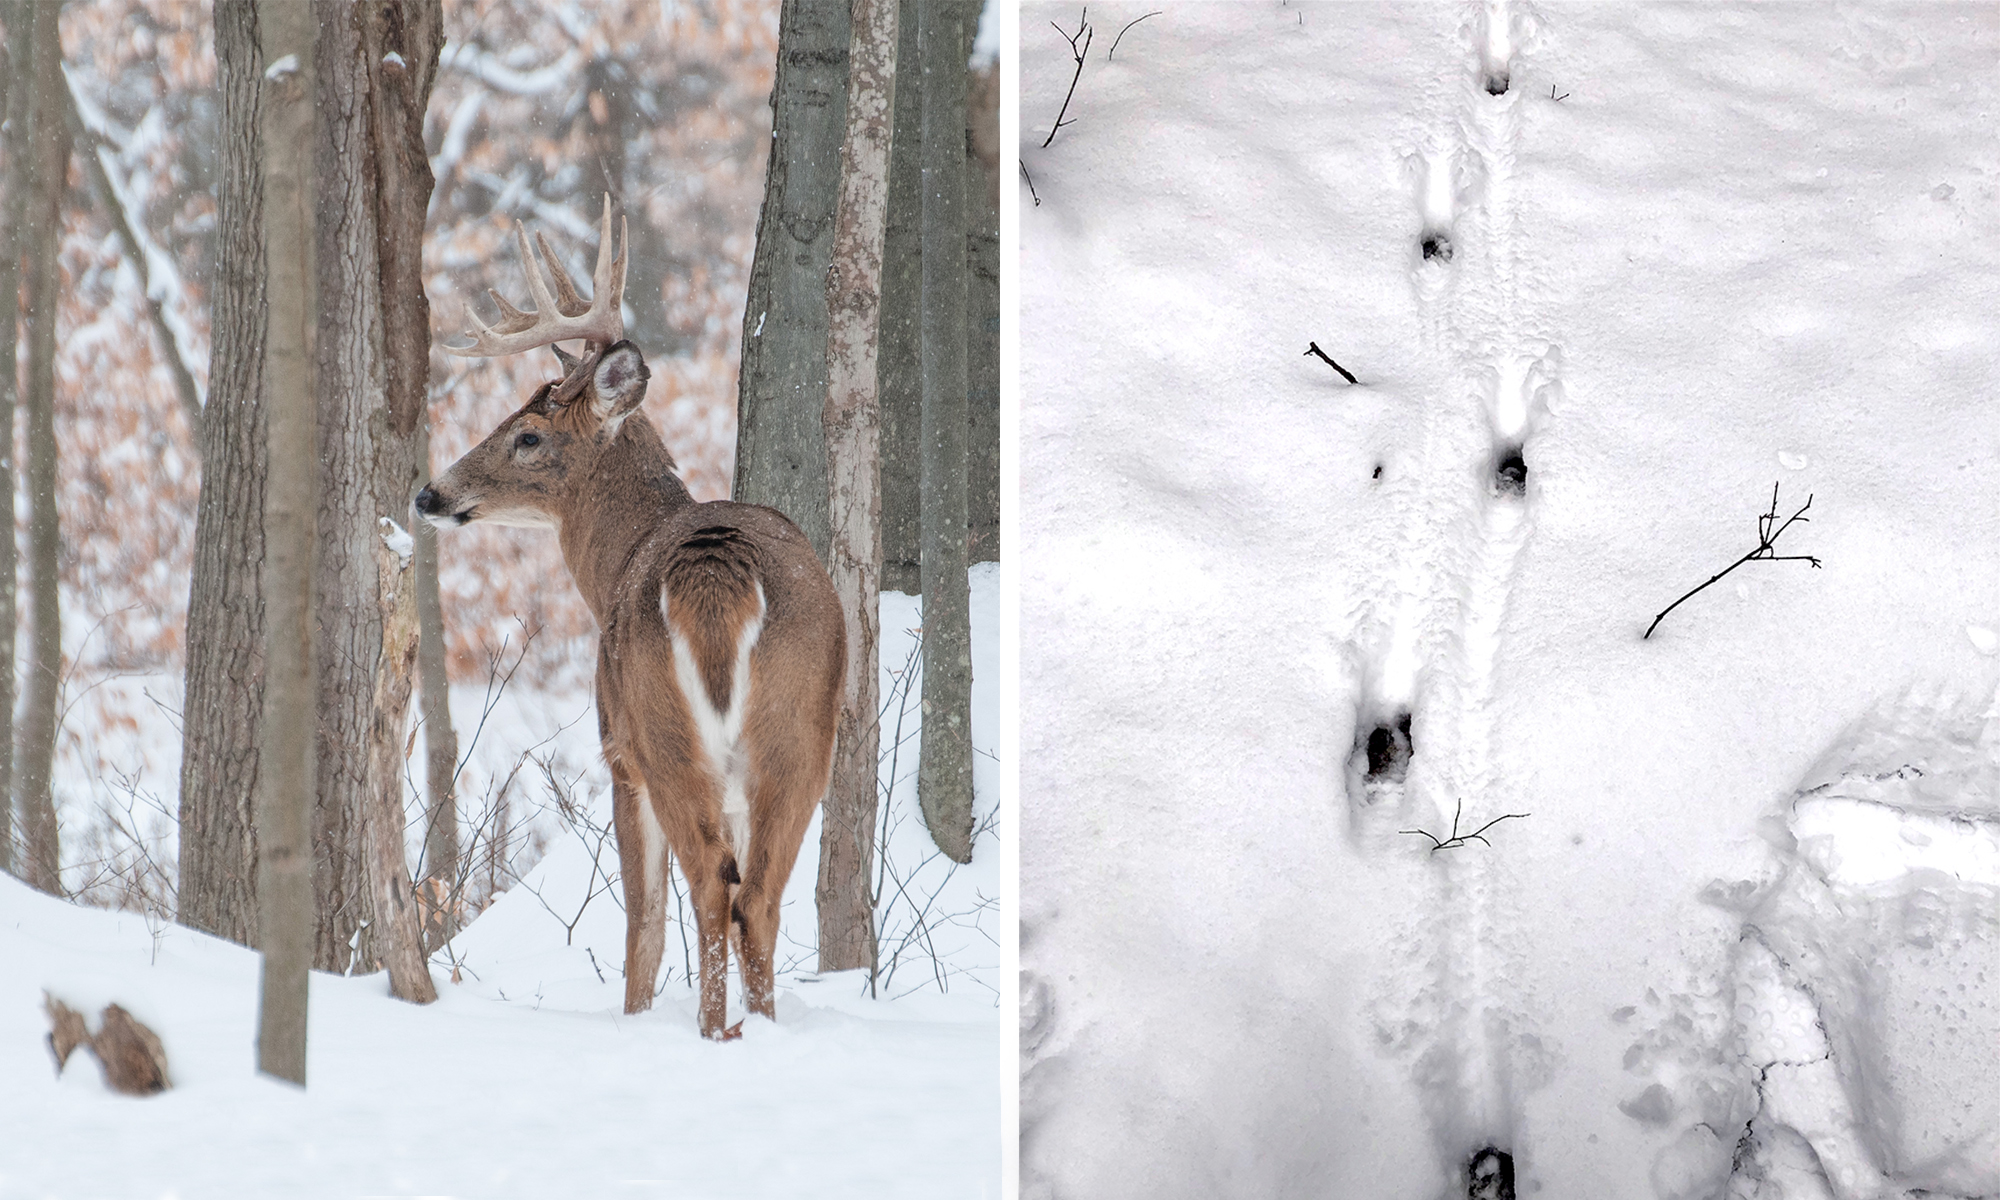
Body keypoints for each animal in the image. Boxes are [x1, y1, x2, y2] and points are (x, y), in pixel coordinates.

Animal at [416, 199, 845, 1040]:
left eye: (527, 434)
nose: (429, 493)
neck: (620, 558)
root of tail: (714, 571)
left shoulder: (616, 751)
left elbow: (641, 921)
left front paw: (637, 1014)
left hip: (661, 731)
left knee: (709, 889)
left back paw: (714, 1032)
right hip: (801, 730)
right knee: (758, 898)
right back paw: (755, 1027)